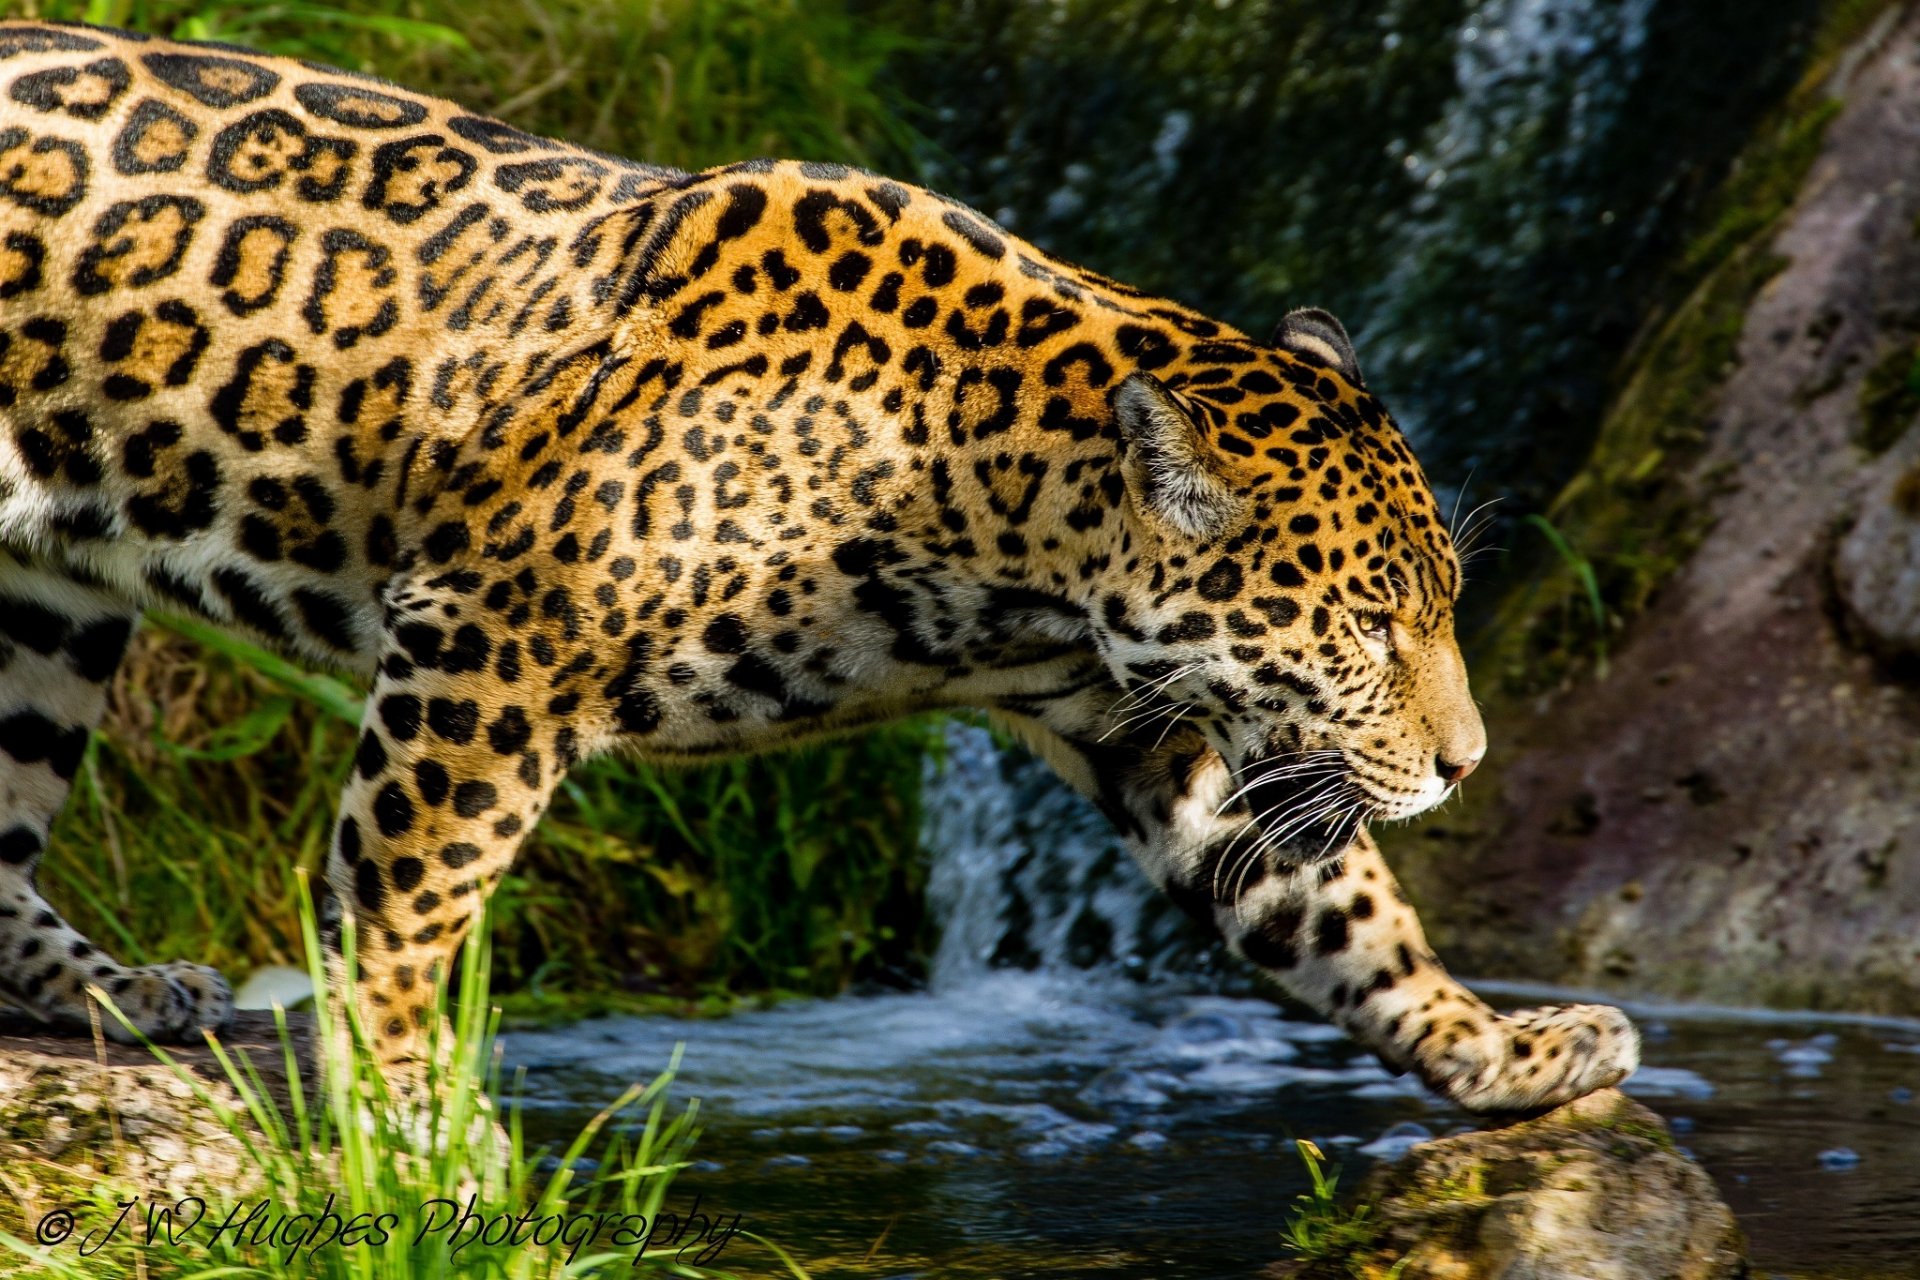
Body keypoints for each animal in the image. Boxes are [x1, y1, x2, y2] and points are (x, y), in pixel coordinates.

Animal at [0, 19, 1637, 1113]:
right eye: (1368, 630)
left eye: (1440, 612)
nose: (1467, 765)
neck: (1005, 526)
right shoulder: (486, 647)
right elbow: (405, 911)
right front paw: (409, 1129)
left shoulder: (1157, 737)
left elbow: (1347, 920)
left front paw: (1507, 1051)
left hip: (43, 610)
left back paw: (116, 993)